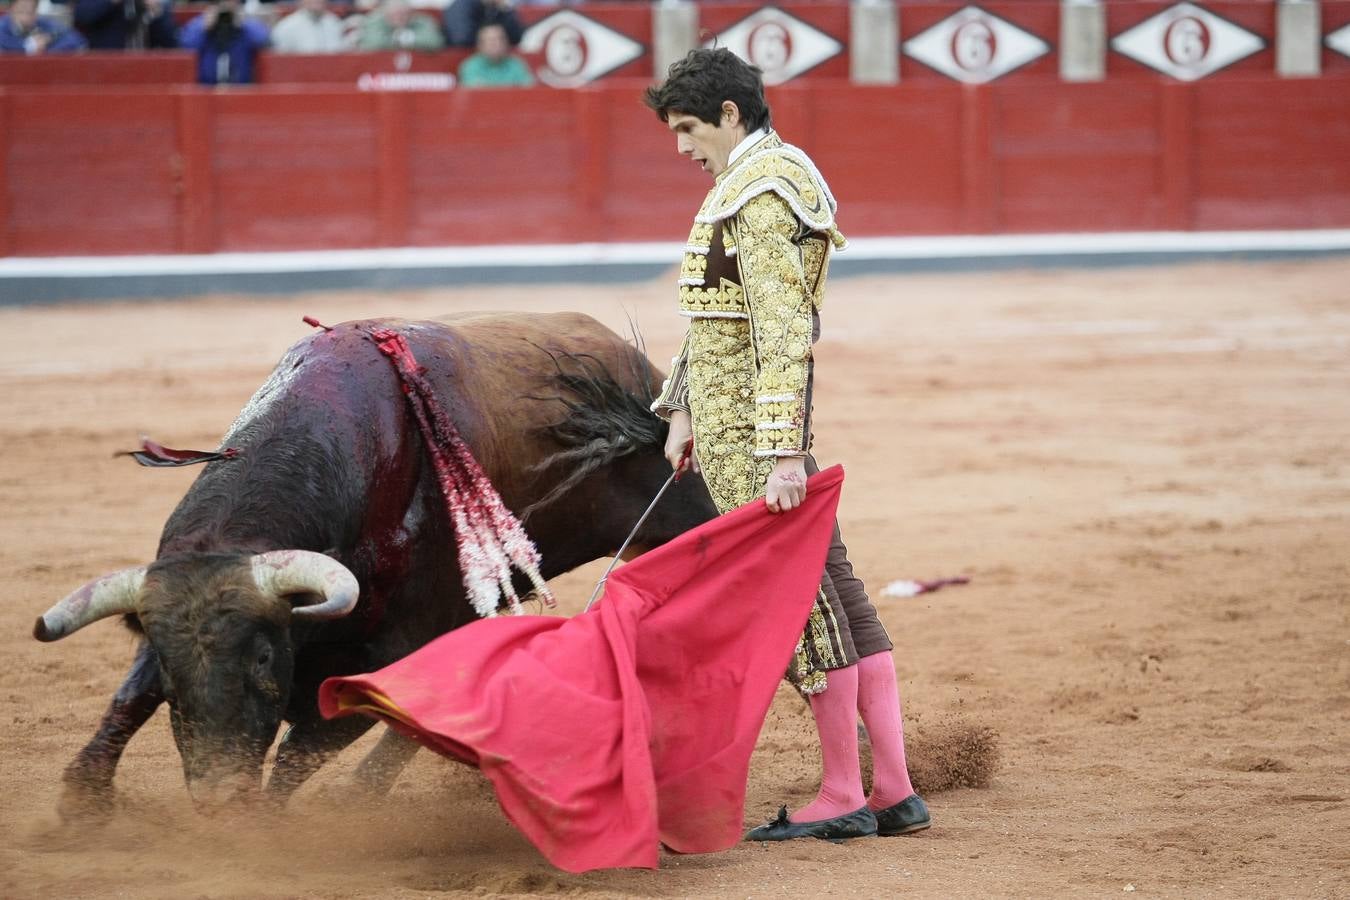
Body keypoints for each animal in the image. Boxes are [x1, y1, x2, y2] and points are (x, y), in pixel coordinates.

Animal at [34, 311, 718, 814]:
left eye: (262, 657)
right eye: (176, 668)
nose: (219, 798)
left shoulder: (388, 647)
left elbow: (302, 751)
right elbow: (133, 694)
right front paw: (80, 802)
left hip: (680, 513)